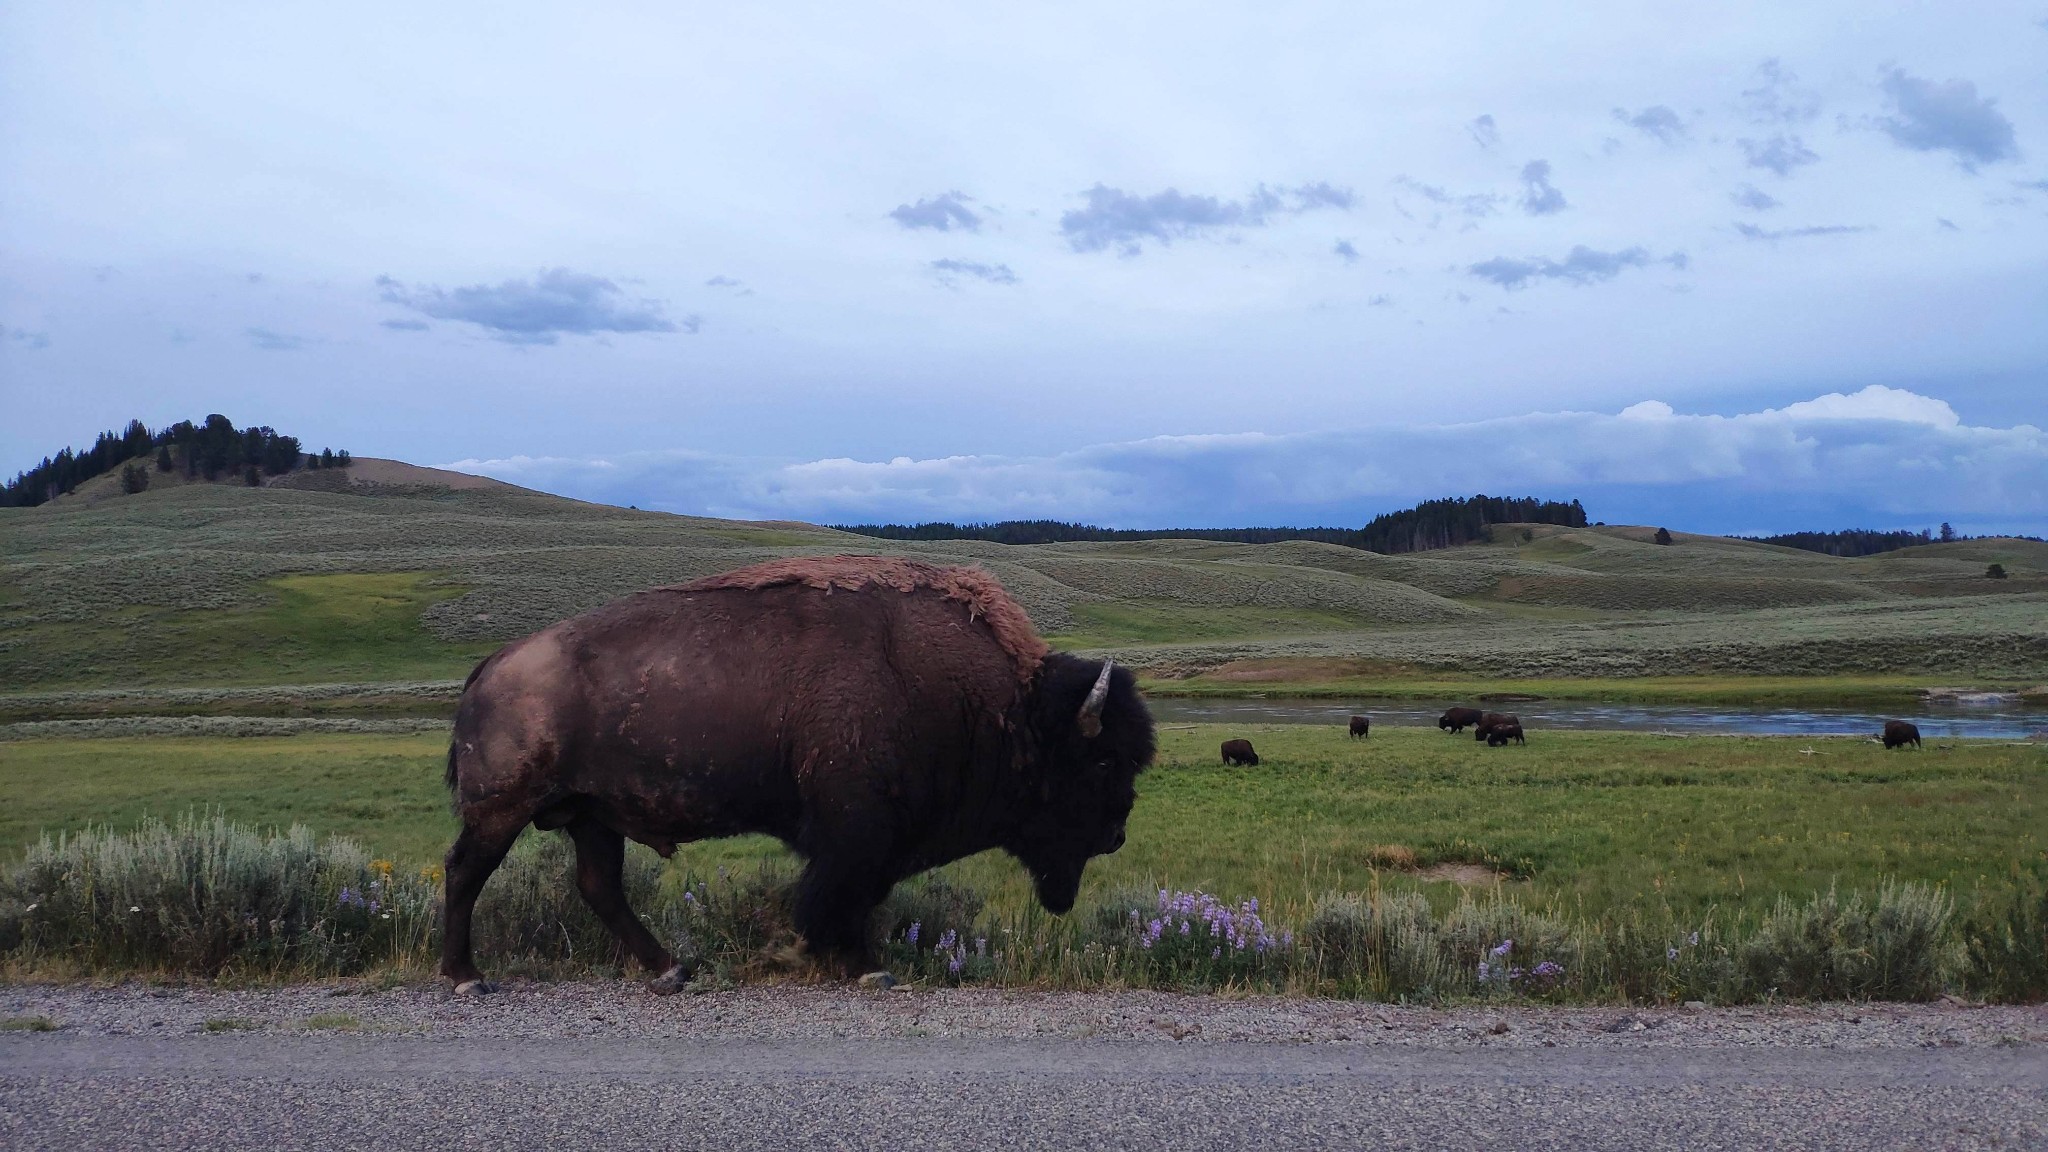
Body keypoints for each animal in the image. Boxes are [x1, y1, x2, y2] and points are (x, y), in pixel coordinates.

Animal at [438, 553, 1155, 992]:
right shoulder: (857, 833)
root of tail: (493, 664)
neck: (1001, 706)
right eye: (1102, 759)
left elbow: (854, 898)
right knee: (466, 873)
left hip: (592, 814)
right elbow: (841, 898)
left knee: (599, 886)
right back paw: (467, 977)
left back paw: (670, 970)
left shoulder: (872, 840)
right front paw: (865, 967)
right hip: (502, 810)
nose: (1119, 833)